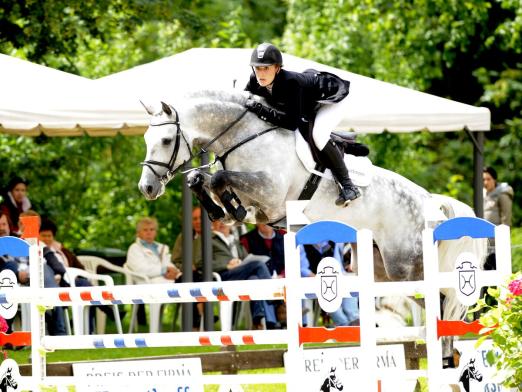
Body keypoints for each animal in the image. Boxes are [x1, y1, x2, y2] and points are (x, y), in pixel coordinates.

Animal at [137, 89, 484, 362]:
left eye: (166, 140)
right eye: (145, 139)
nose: (147, 188)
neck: (243, 138)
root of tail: (429, 200)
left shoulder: (270, 195)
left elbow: (220, 178)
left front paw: (229, 208)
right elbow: (202, 179)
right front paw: (220, 210)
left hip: (406, 267)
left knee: (444, 302)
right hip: (381, 269)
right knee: (438, 303)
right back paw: (448, 356)